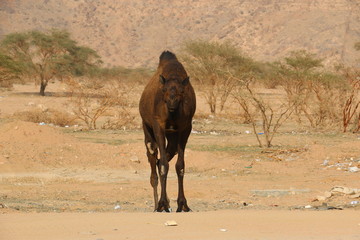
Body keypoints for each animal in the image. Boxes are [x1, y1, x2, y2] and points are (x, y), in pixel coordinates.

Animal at [139, 50, 197, 212]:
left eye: (182, 91)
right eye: (163, 90)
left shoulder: (185, 128)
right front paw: (162, 203)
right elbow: (164, 165)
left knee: (162, 158)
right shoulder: (158, 125)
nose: (171, 103)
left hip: (172, 136)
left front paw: (182, 204)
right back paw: (155, 204)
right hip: (147, 127)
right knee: (153, 157)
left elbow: (180, 166)